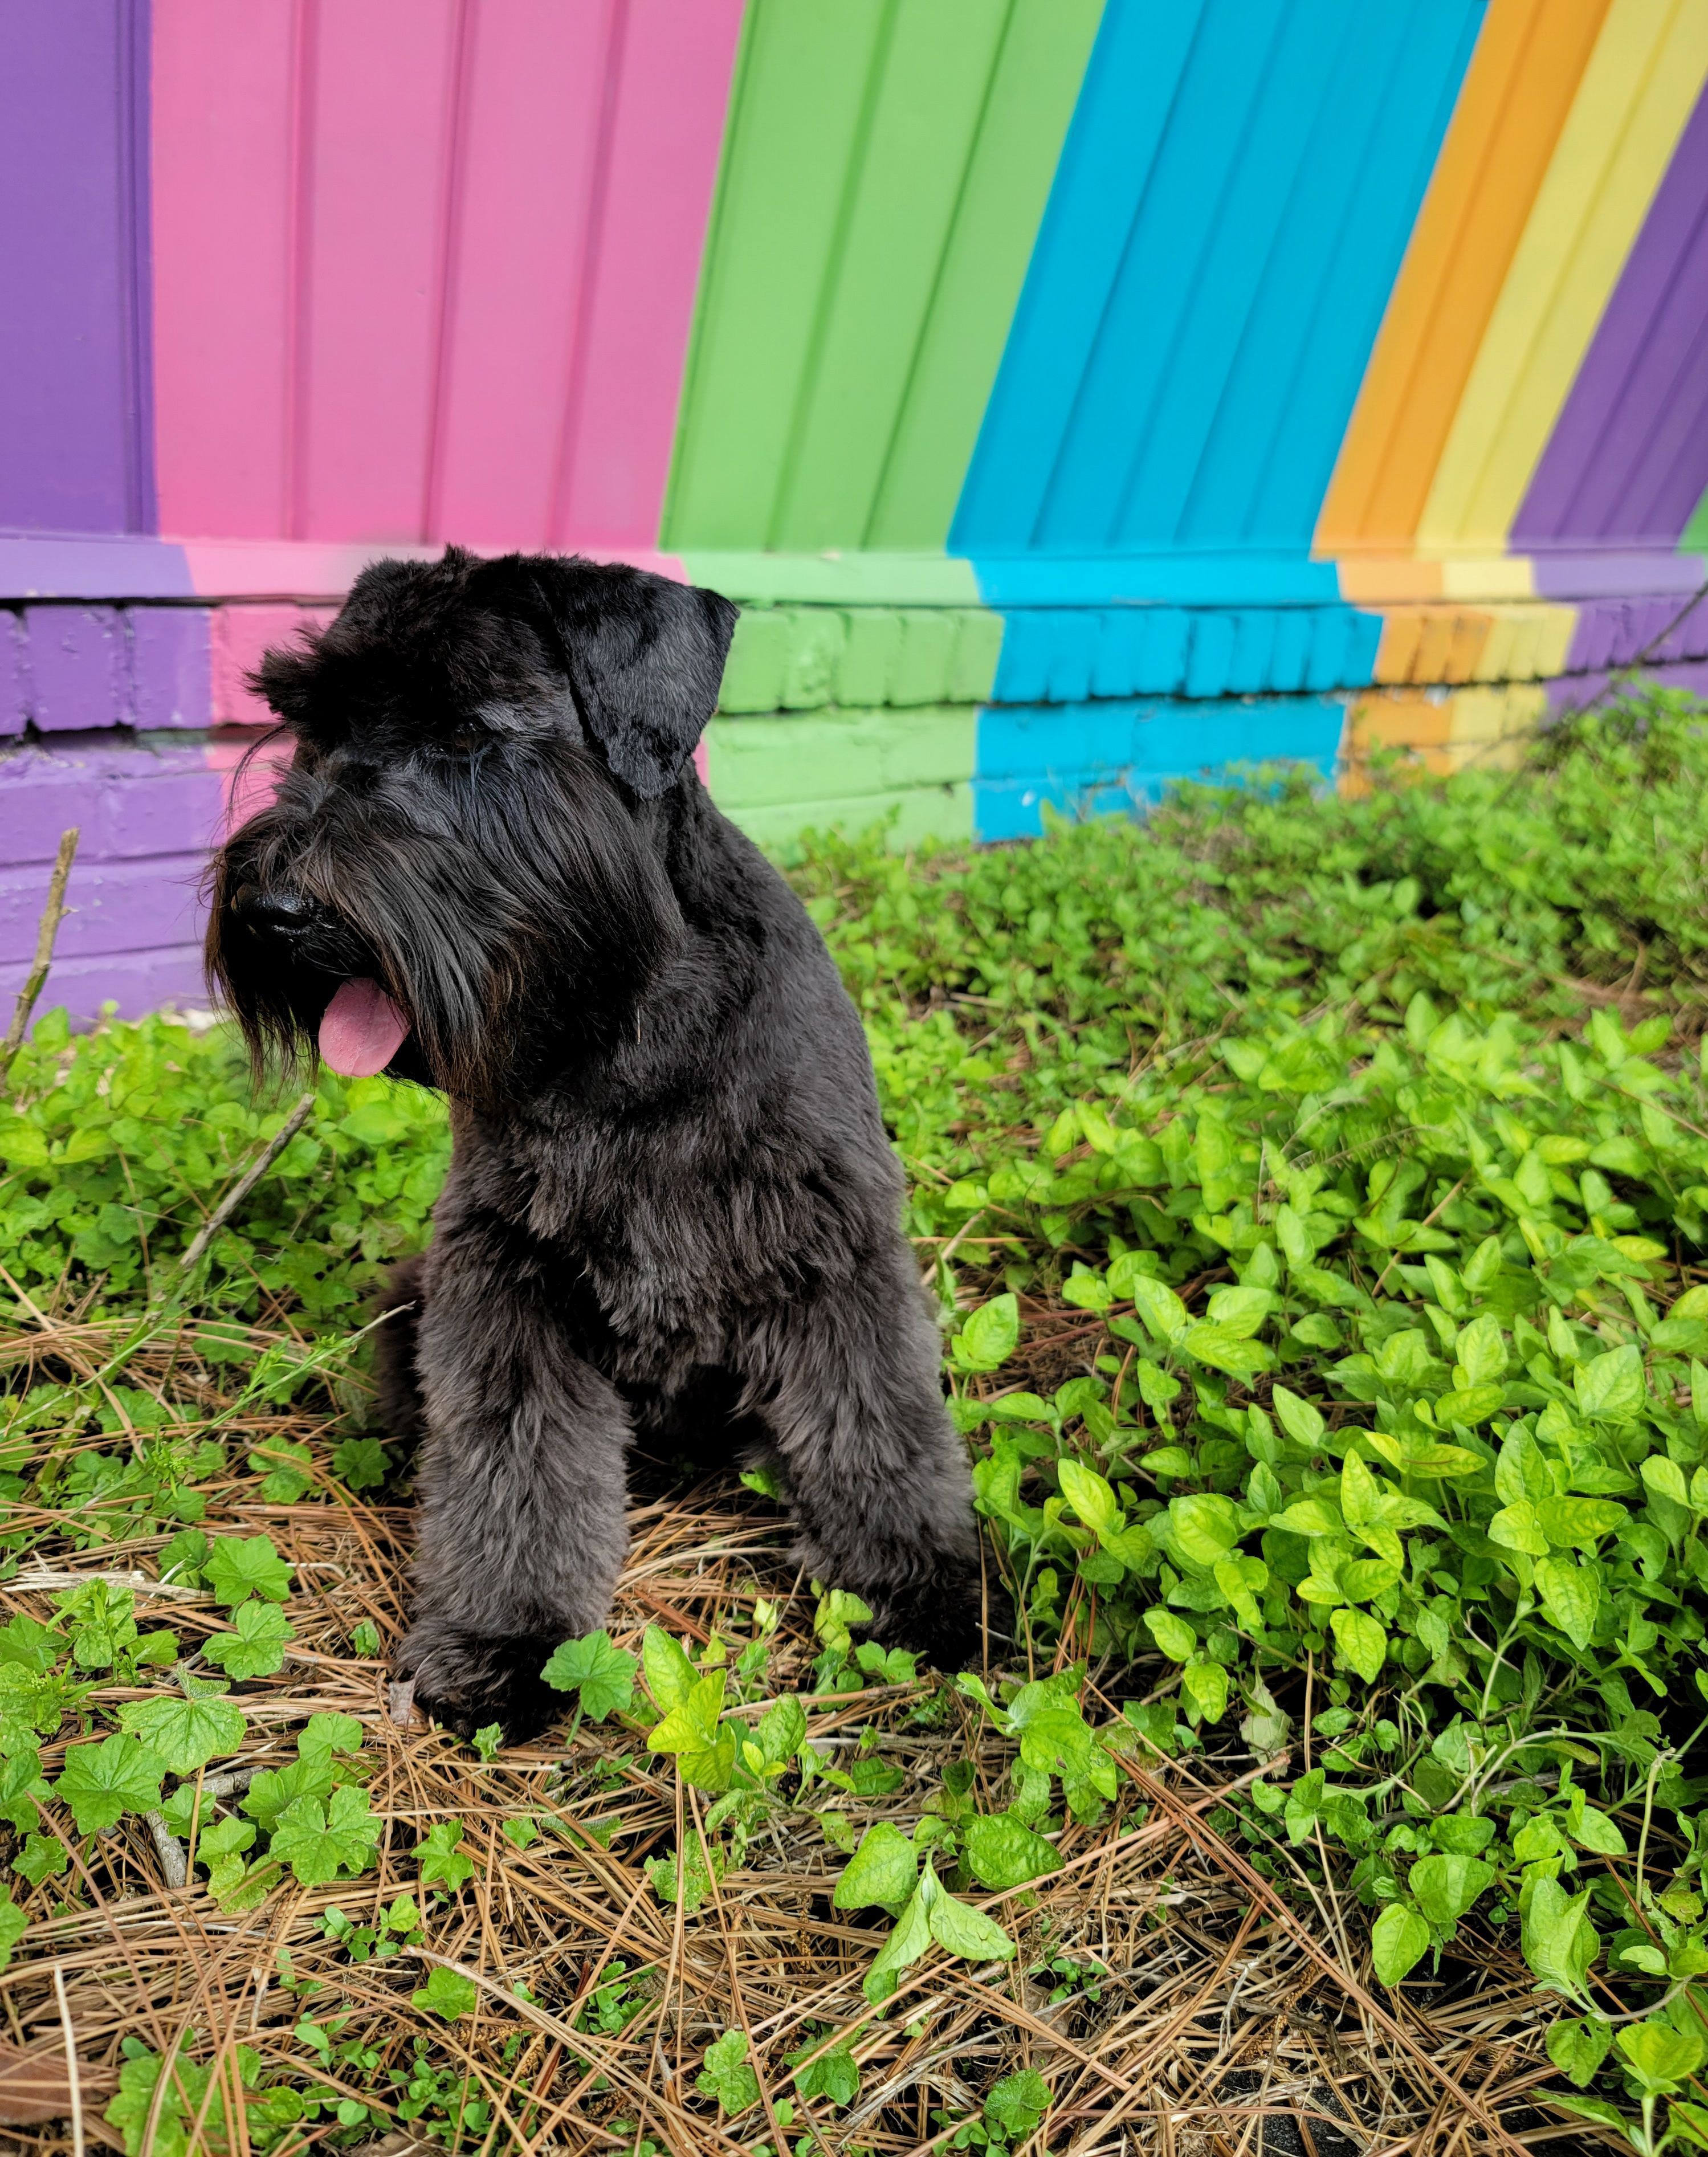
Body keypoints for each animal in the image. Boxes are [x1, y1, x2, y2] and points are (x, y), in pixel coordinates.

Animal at [207, 552, 979, 1734]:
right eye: (315, 728)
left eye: (466, 733)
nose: (275, 909)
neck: (622, 1030)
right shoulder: (500, 1279)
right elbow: (516, 1467)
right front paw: (507, 1642)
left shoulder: (830, 1247)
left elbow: (875, 1420)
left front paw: (918, 1583)